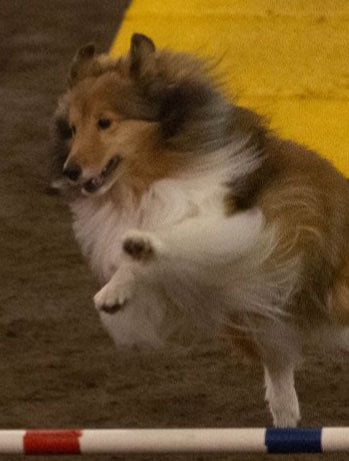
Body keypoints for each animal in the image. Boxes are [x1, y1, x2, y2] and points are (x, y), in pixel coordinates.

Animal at [51, 34, 348, 426]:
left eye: (104, 122)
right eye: (72, 128)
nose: (70, 171)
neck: (154, 175)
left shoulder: (238, 229)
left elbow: (178, 237)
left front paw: (140, 249)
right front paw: (115, 292)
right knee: (281, 371)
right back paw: (284, 416)